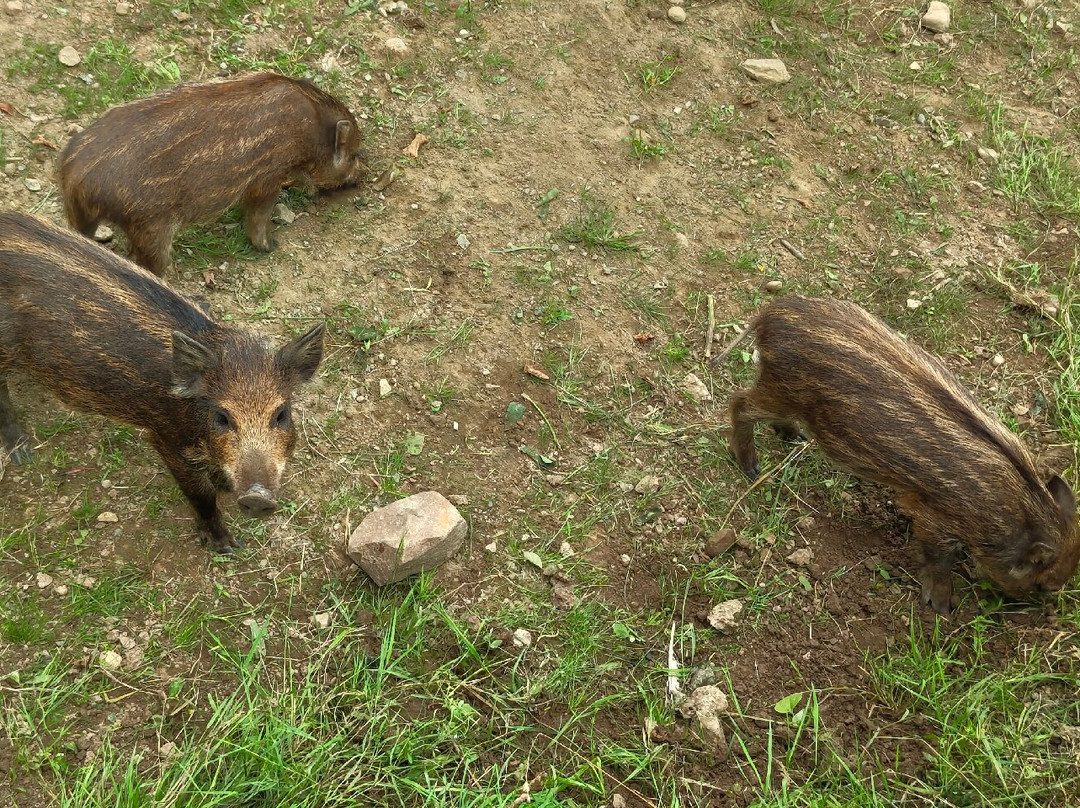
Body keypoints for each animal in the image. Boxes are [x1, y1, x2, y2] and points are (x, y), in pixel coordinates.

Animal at [0, 212, 325, 554]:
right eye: (222, 417)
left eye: (281, 414)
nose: (257, 497)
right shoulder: (166, 440)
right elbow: (202, 496)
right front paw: (226, 546)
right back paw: (22, 453)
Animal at [58, 72, 365, 276]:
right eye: (352, 154)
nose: (360, 179)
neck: (310, 131)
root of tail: (73, 175)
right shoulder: (266, 178)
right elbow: (259, 215)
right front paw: (270, 246)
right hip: (151, 228)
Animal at [724, 295, 1078, 614]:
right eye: (1042, 583)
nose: (1033, 609)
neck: (1019, 515)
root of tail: (769, 314)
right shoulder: (935, 519)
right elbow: (939, 560)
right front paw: (941, 607)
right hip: (780, 389)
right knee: (740, 402)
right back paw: (751, 467)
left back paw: (794, 438)